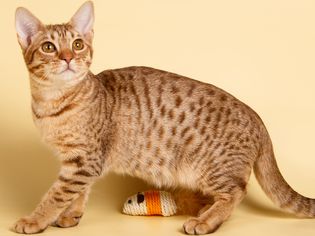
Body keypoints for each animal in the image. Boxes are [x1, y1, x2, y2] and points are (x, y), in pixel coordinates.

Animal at [12, 0, 315, 235]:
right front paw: (70, 215)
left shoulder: (84, 161)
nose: (67, 58)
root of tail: (257, 117)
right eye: (49, 47)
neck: (52, 102)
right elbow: (77, 193)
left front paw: (35, 220)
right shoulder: (79, 162)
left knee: (236, 192)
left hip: (209, 167)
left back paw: (205, 222)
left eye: (77, 44)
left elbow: (56, 194)